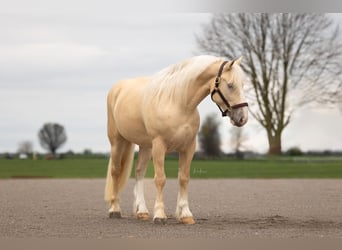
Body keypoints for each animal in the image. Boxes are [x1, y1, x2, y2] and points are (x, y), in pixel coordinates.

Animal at [104, 55, 248, 226]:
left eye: (243, 84)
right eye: (231, 85)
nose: (243, 118)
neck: (177, 103)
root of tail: (118, 88)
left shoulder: (188, 147)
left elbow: (184, 178)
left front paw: (185, 214)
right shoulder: (159, 145)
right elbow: (160, 179)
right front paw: (160, 215)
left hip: (145, 146)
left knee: (139, 172)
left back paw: (142, 212)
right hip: (117, 141)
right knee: (115, 171)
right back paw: (114, 210)